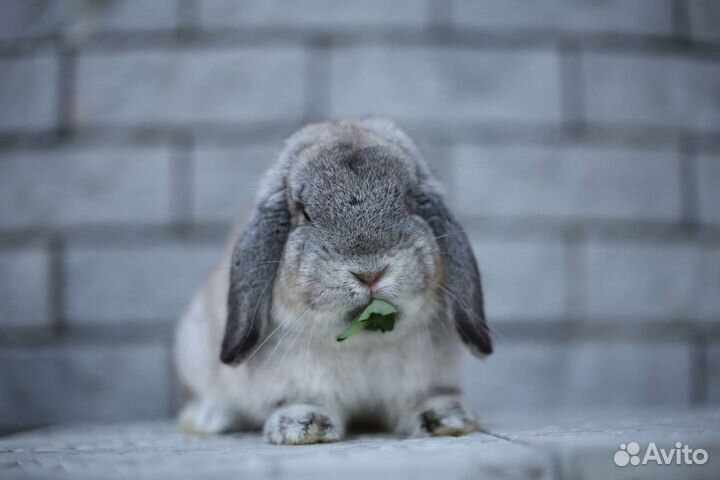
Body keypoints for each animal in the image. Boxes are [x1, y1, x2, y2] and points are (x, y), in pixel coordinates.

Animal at [174, 118, 493, 445]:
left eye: (409, 200)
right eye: (304, 212)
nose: (370, 273)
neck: (364, 342)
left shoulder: (427, 377)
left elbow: (427, 397)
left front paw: (448, 420)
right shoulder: (294, 379)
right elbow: (301, 401)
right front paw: (304, 428)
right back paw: (206, 418)